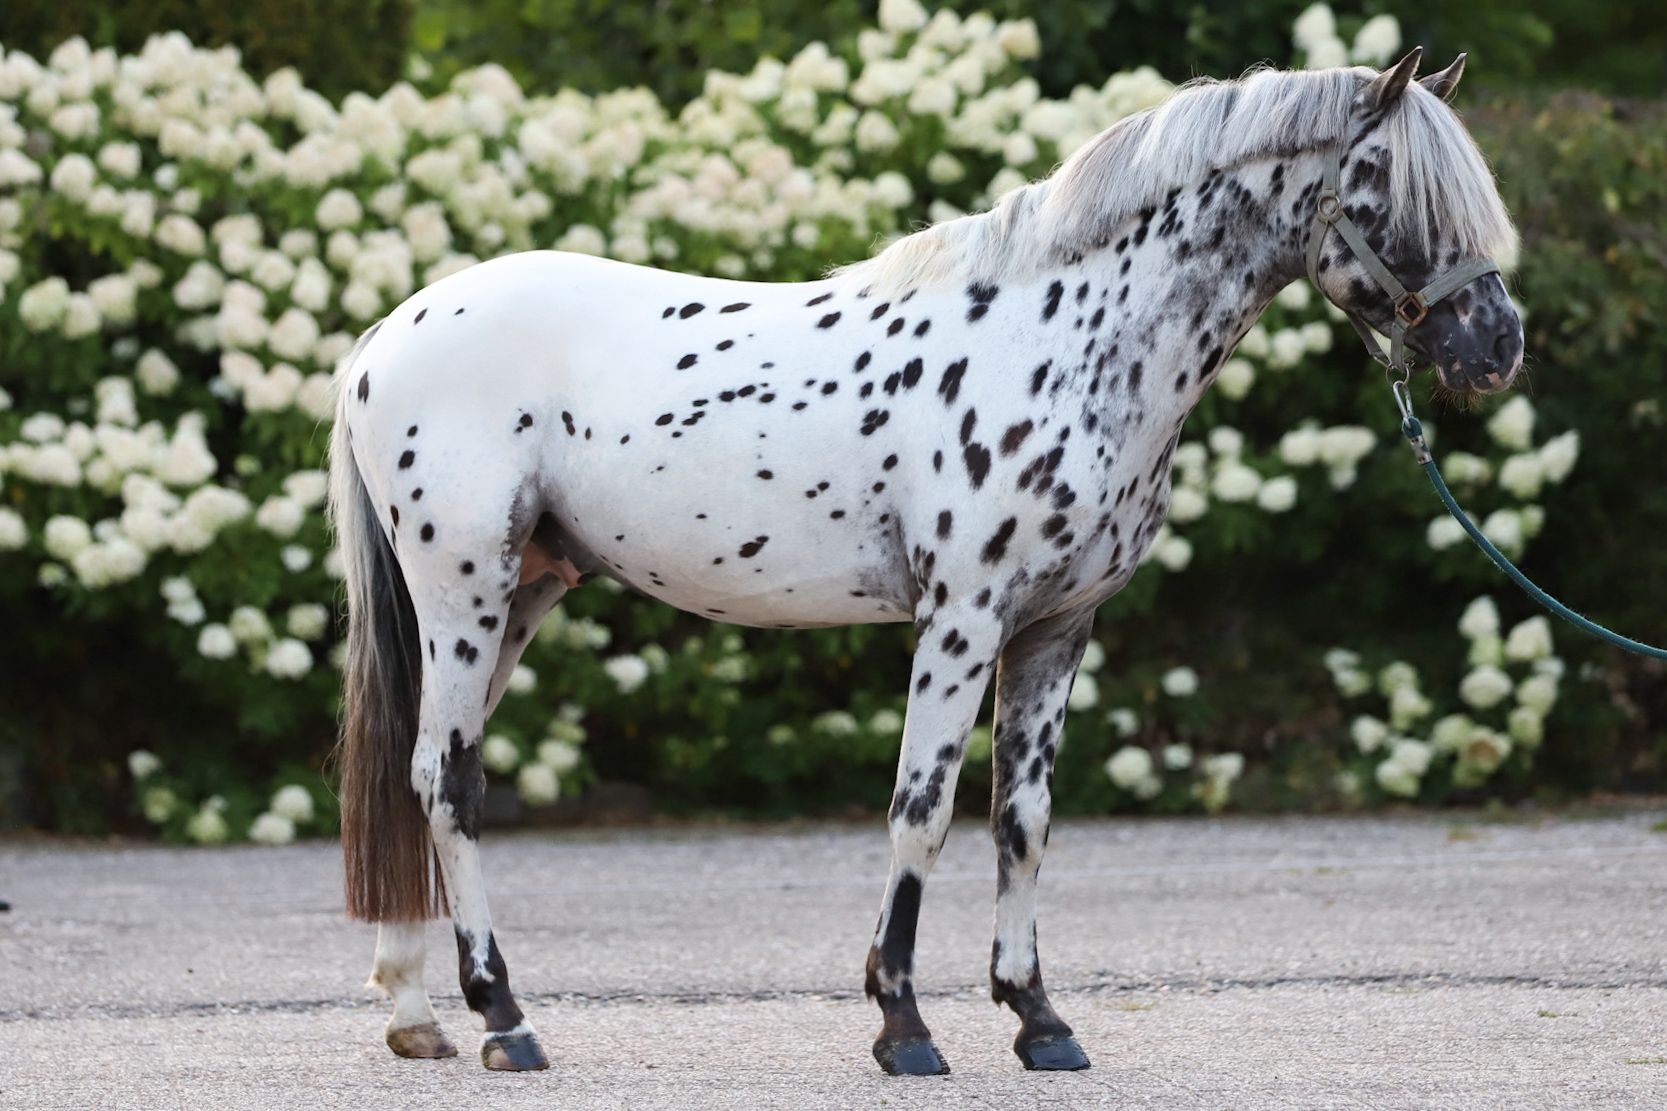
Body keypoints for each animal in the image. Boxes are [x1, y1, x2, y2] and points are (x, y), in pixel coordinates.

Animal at [328, 49, 1522, 1076]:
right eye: (1393, 194)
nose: (1494, 345)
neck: (1063, 339)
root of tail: (390, 333)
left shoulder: (1054, 629)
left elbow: (1020, 821)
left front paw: (1038, 1017)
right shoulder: (962, 617)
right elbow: (923, 807)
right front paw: (902, 1023)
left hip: (520, 596)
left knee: (421, 776)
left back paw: (416, 1011)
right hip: (465, 595)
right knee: (448, 782)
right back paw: (503, 1017)